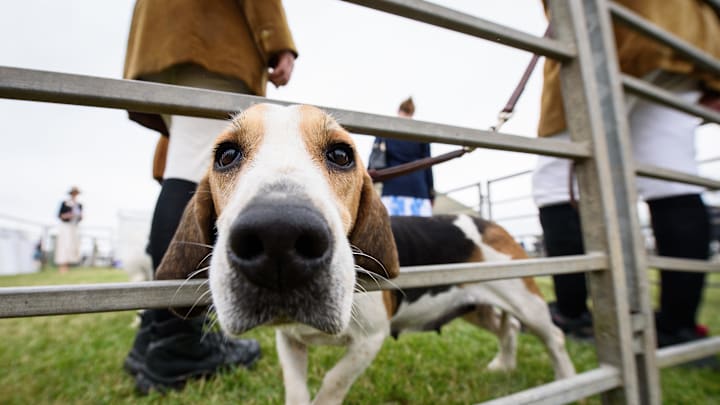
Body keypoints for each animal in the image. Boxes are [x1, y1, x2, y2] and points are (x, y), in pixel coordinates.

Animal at [156, 104, 572, 404]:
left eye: (341, 154)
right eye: (226, 155)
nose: (278, 236)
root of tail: (487, 222)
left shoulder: (371, 337)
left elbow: (332, 383)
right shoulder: (288, 341)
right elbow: (297, 389)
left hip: (525, 299)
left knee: (551, 336)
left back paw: (567, 380)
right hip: (475, 306)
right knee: (508, 330)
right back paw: (505, 364)